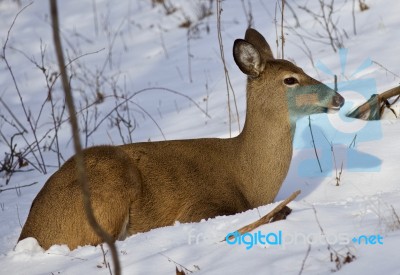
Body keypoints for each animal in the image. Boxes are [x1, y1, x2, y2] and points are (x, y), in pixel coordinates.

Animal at [18, 28, 344, 250]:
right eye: (290, 79)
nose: (339, 98)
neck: (248, 178)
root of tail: (30, 231)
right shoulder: (199, 208)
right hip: (108, 187)